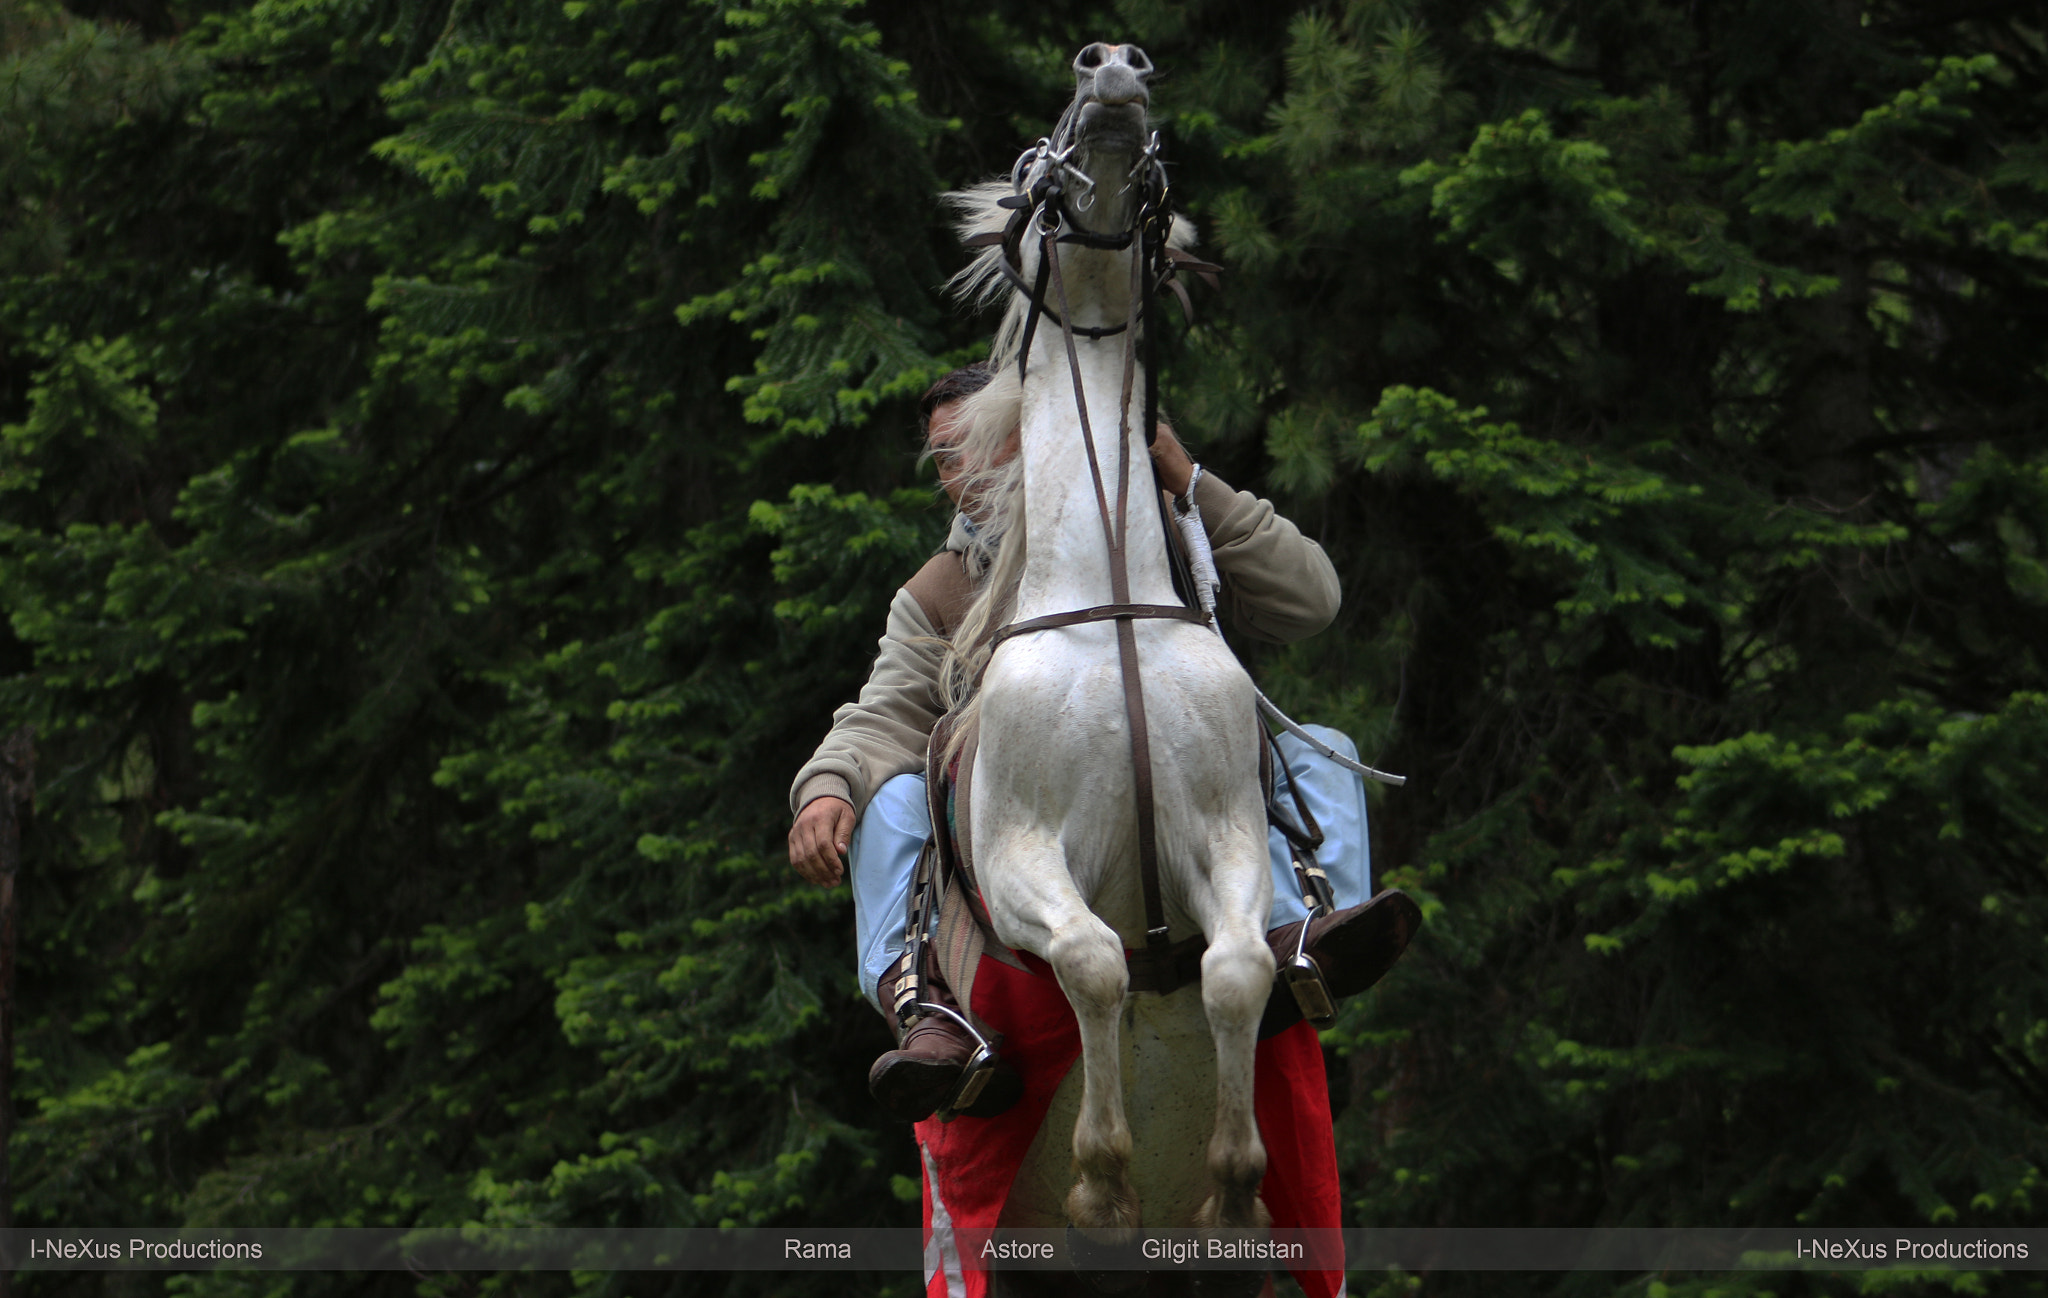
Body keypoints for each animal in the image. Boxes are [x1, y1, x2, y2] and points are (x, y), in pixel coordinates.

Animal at [942, 37, 1277, 1236]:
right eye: (1031, 162)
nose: (1115, 69)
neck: (1108, 599)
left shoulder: (1227, 830)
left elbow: (1234, 969)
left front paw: (1232, 1180)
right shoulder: (1019, 854)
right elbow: (1092, 958)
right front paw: (1100, 1172)